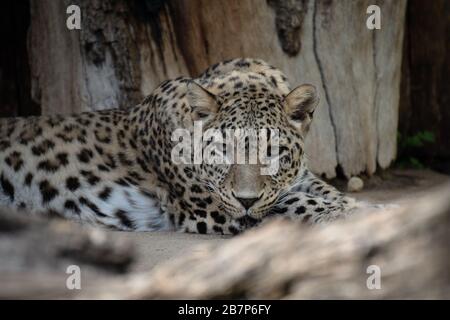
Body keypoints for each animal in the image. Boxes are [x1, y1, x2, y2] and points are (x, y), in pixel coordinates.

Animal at [0, 57, 364, 234]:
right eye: (222, 151)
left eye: (273, 153)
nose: (246, 201)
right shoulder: (211, 205)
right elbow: (296, 203)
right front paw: (348, 216)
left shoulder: (299, 178)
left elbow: (326, 192)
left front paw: (363, 208)